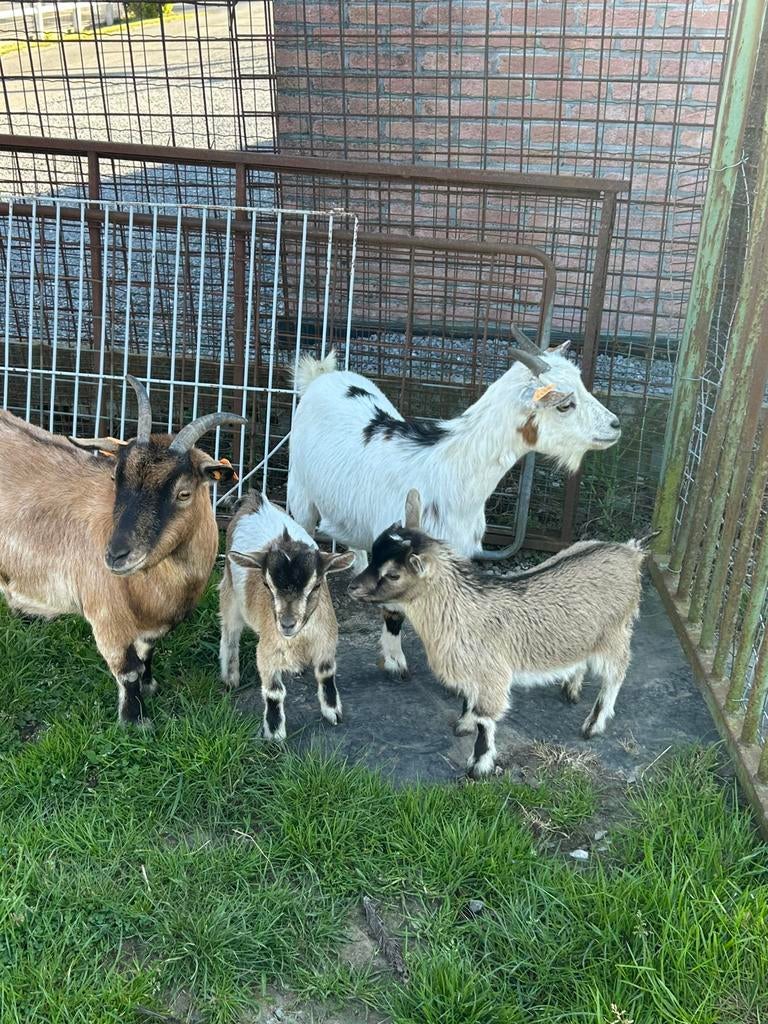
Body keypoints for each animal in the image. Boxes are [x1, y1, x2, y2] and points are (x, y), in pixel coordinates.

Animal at [0, 376, 245, 725]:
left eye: (184, 493)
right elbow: (128, 670)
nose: (115, 555)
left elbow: (145, 655)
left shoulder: (151, 625)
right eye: (116, 477)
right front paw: (135, 720)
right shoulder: (106, 616)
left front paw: (151, 686)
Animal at [219, 493, 355, 741]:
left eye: (317, 585)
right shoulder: (267, 650)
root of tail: (255, 500)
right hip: (229, 592)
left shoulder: (327, 641)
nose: (287, 624)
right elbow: (274, 692)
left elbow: (326, 674)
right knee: (230, 632)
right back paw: (230, 678)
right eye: (266, 584)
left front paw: (333, 712)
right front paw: (275, 734)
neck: (300, 637)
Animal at [287, 346, 621, 679]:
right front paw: (394, 661)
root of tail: (321, 375)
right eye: (565, 405)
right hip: (300, 492)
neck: (448, 469)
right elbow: (394, 609)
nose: (615, 425)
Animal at [348, 490, 649, 778]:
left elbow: (485, 718)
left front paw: (478, 766)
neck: (461, 611)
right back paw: (571, 688)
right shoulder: (472, 672)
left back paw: (593, 725)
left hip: (616, 632)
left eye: (394, 575)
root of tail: (630, 552)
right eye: (373, 554)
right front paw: (464, 724)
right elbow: (468, 700)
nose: (352, 587)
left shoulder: (492, 674)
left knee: (616, 674)